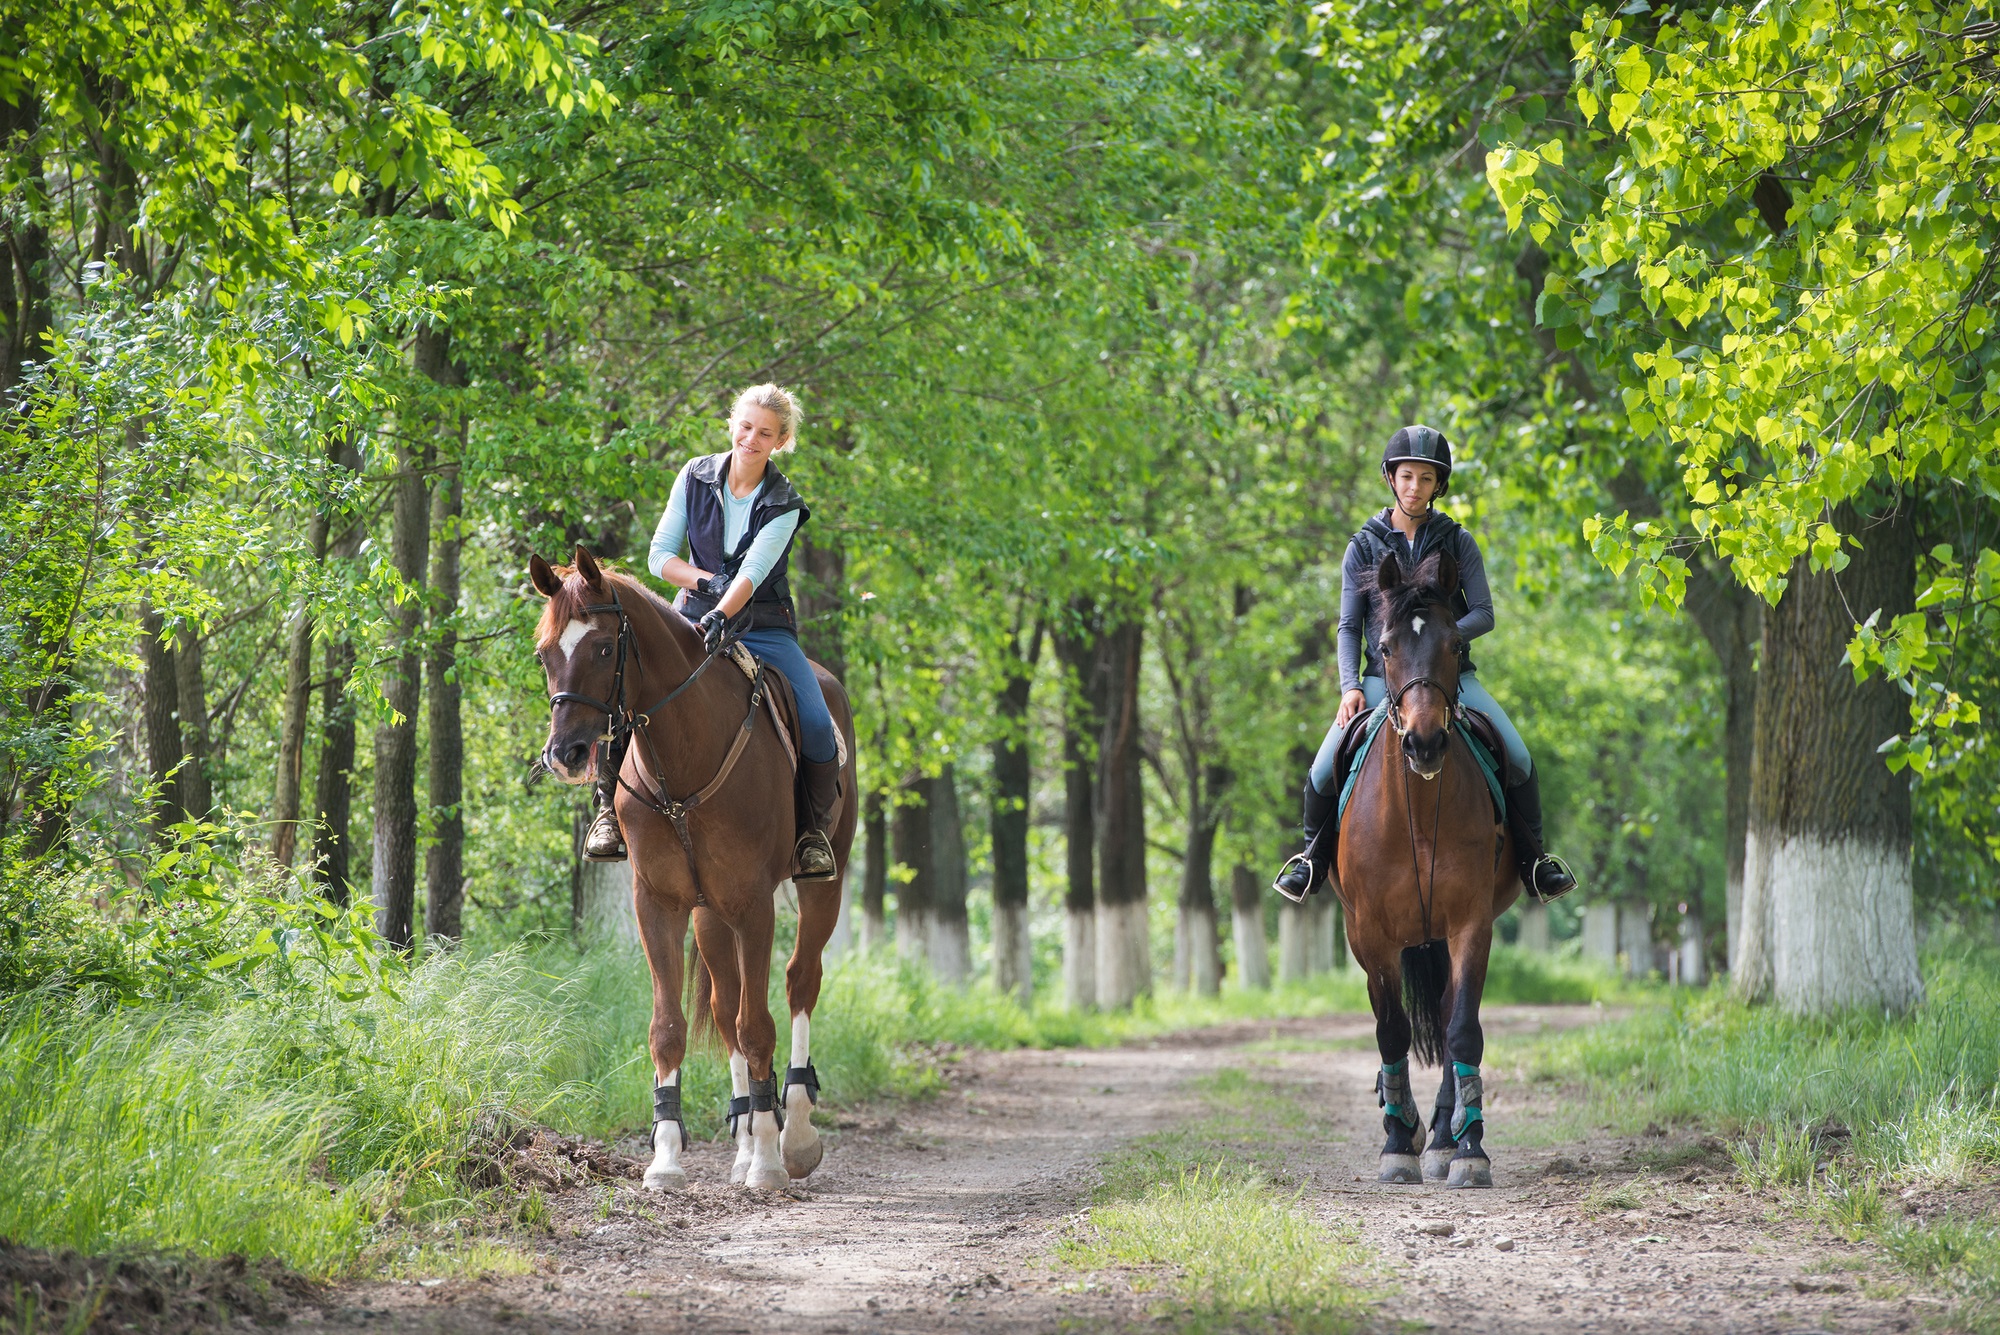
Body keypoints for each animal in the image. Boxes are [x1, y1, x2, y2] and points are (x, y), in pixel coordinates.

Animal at [528, 547, 856, 1191]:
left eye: (602, 648)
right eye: (545, 652)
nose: (565, 755)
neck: (683, 756)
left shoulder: (752, 904)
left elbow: (759, 1025)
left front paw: (770, 1160)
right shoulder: (659, 903)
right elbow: (672, 1027)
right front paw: (667, 1158)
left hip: (819, 887)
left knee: (799, 982)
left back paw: (795, 1137)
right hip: (709, 916)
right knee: (725, 1008)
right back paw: (747, 1139)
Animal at [1336, 551, 1520, 1191]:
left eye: (1454, 644)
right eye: (1385, 647)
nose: (1424, 744)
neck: (1416, 810)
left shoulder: (1470, 923)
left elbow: (1461, 1027)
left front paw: (1470, 1152)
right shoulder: (1369, 935)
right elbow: (1391, 1029)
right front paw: (1397, 1144)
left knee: (1445, 1019)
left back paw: (1444, 1136)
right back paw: (1415, 1128)